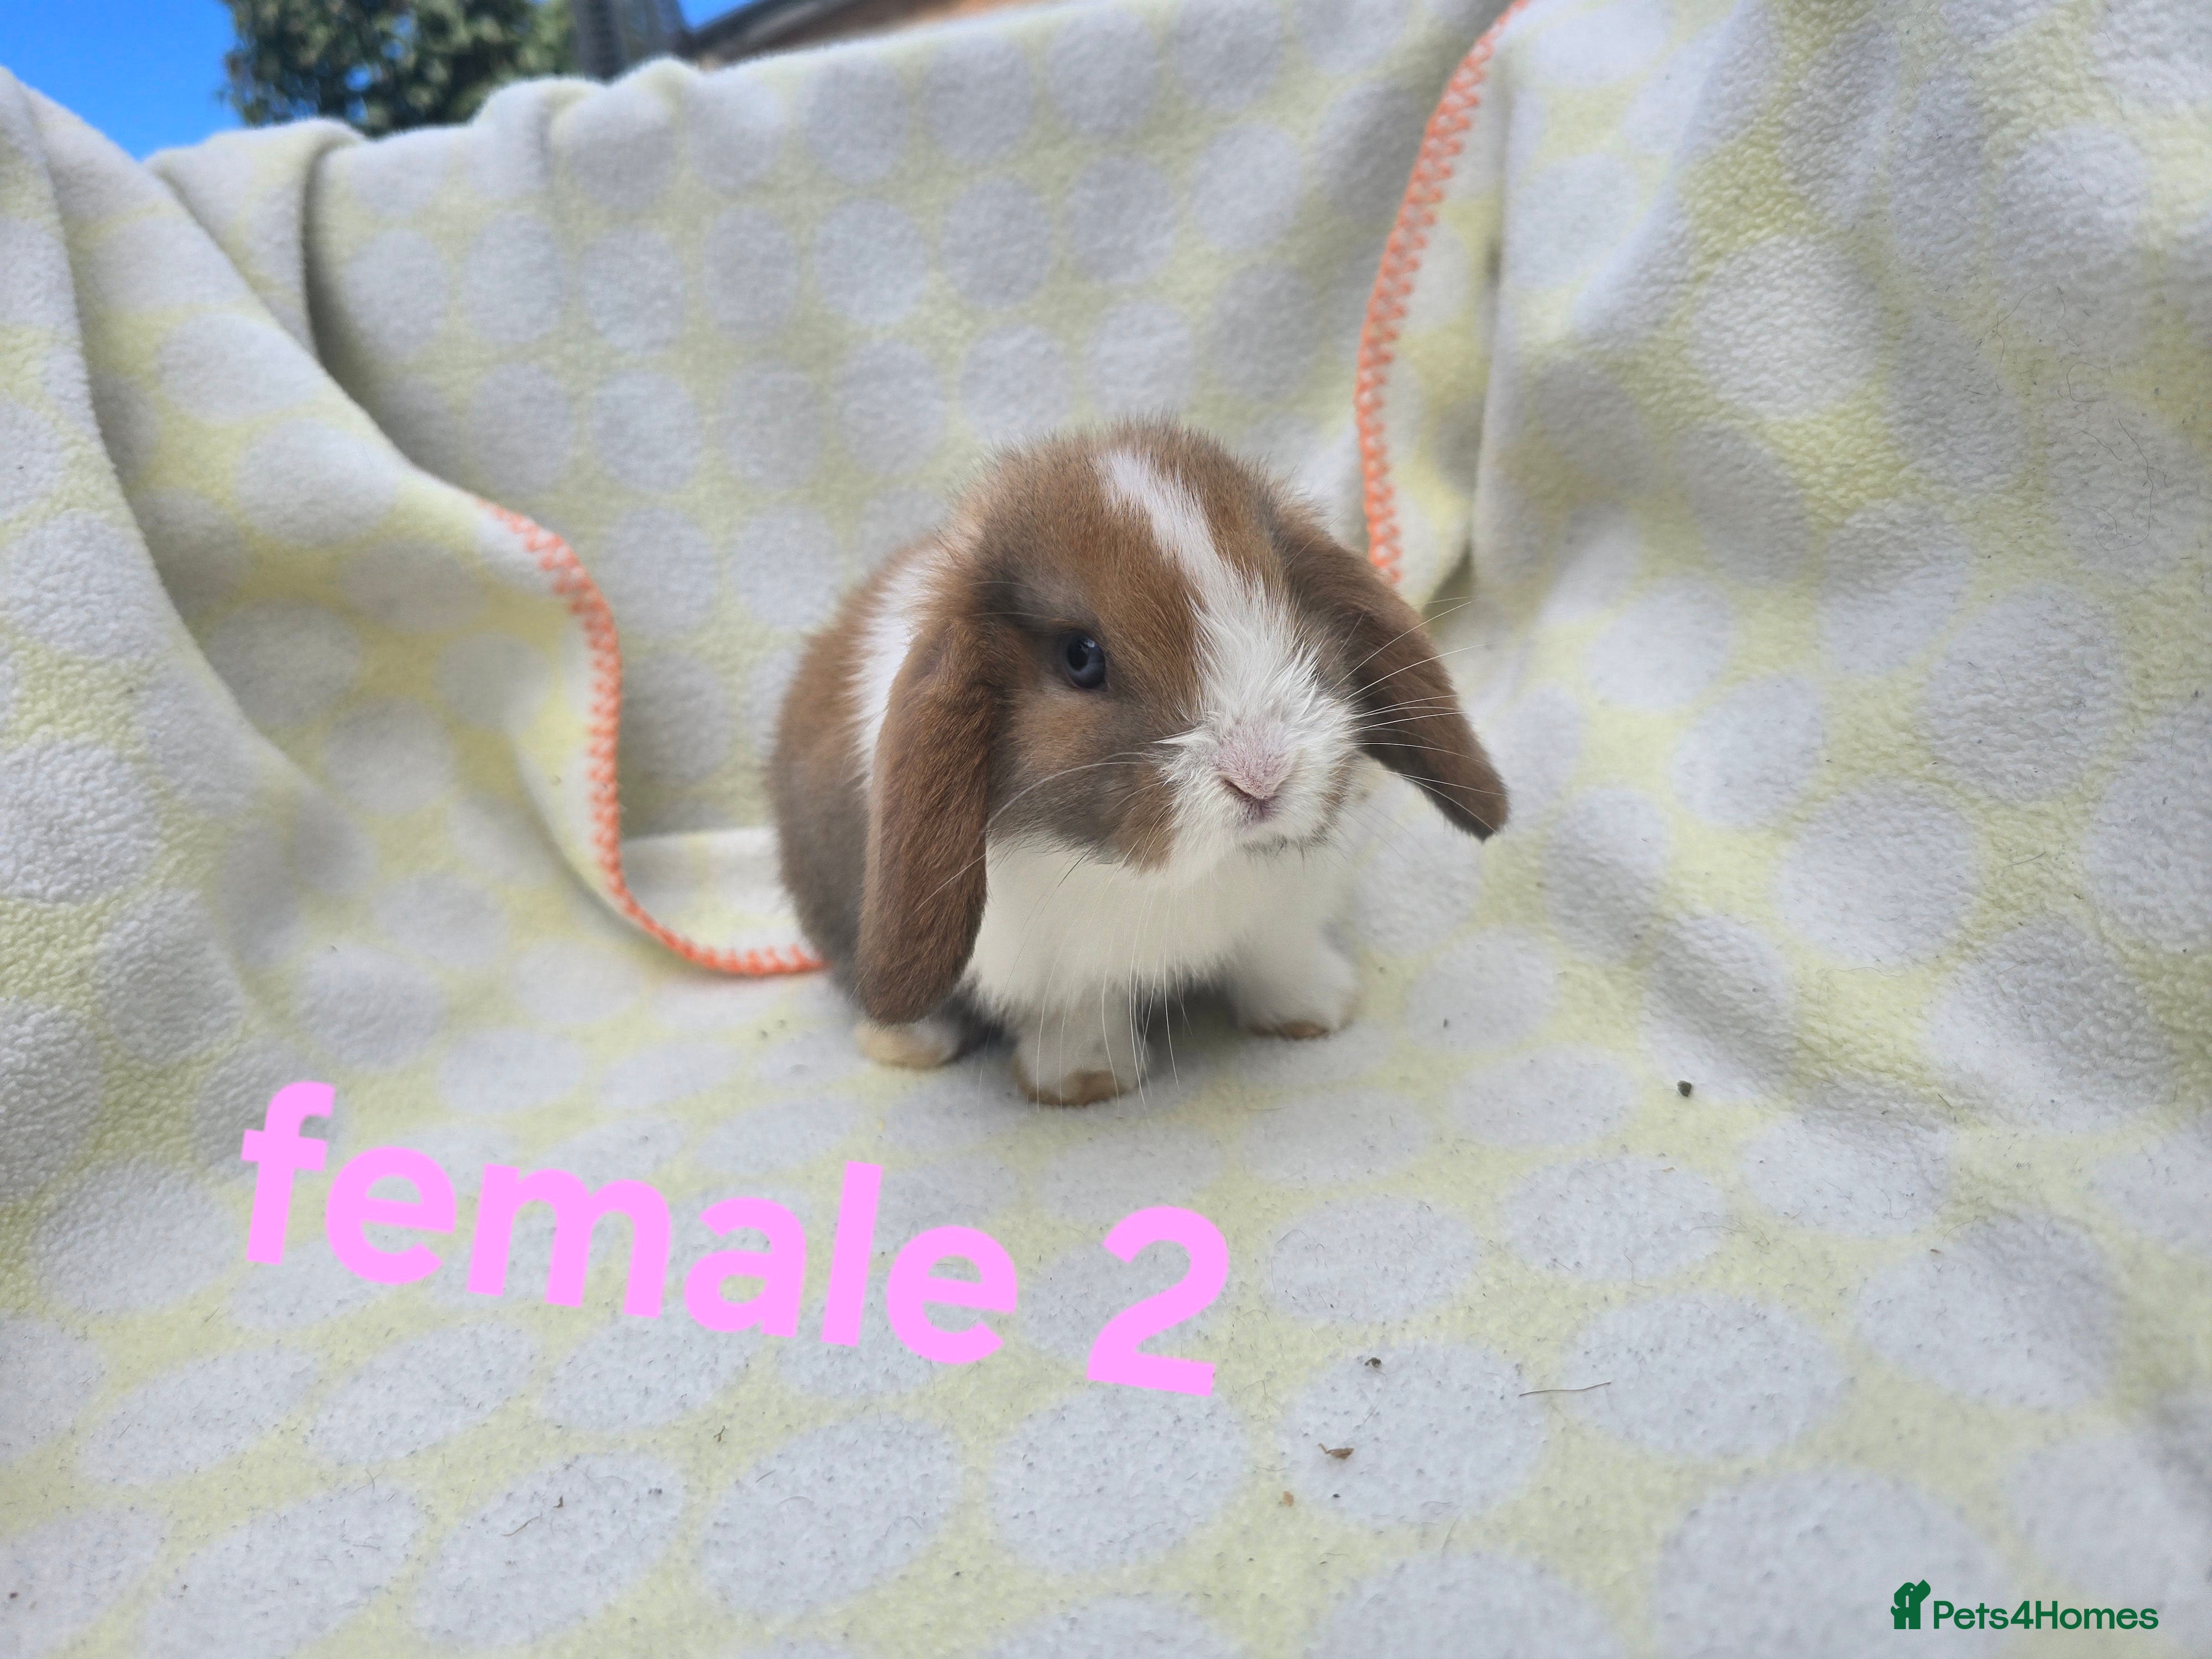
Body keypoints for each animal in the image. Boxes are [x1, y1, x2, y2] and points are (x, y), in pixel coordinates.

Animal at [769, 420, 1508, 1105]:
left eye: (1290, 608)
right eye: (1080, 658)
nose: (1261, 774)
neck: (1181, 880)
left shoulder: (1278, 916)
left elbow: (1277, 956)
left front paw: (1318, 1012)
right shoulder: (1050, 964)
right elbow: (1077, 1013)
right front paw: (1086, 1082)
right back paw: (908, 1043)